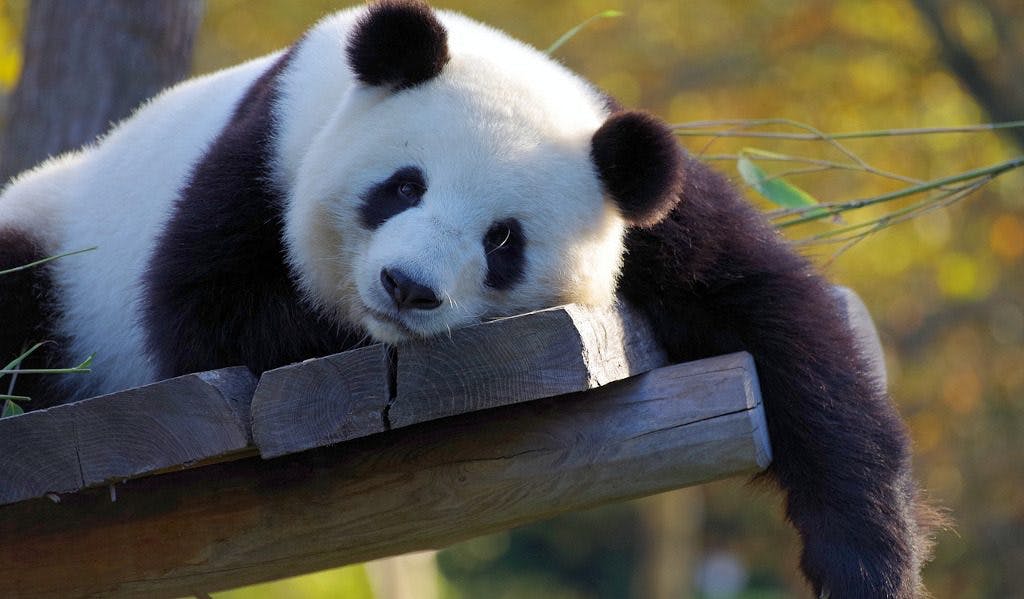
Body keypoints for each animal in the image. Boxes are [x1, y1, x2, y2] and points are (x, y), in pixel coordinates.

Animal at [0, 2, 937, 593]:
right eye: (402, 185)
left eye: (503, 240)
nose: (407, 287)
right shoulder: (266, 147)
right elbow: (205, 309)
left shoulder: (642, 204)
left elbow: (779, 319)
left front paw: (869, 559)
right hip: (56, 242)